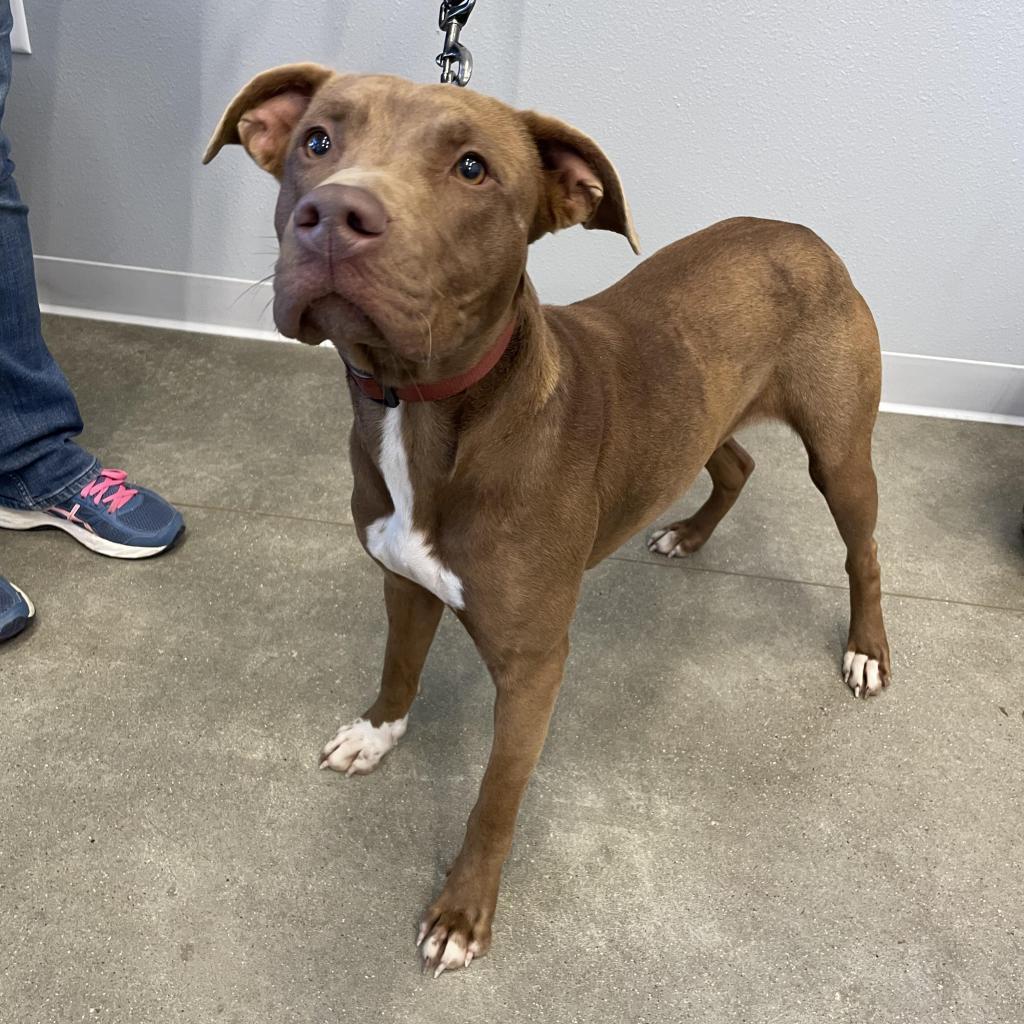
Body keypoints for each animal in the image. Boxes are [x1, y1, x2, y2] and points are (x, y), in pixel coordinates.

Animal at [203, 61, 892, 974]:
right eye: (317, 140)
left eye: (472, 167)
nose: (335, 217)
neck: (425, 414)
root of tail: (803, 233)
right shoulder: (402, 582)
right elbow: (398, 668)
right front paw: (376, 734)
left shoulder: (533, 669)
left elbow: (495, 798)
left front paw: (463, 913)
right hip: (702, 416)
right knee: (736, 464)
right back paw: (689, 532)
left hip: (840, 455)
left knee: (864, 552)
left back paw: (866, 649)